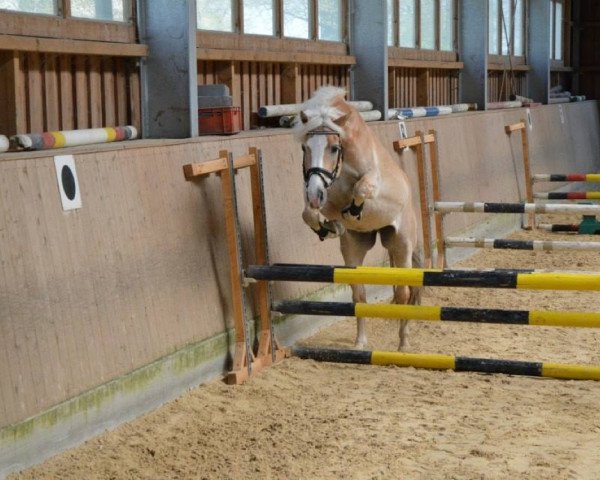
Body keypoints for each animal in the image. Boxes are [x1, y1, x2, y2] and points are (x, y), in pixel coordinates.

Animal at [292, 85, 420, 348]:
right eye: (305, 148)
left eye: (334, 147)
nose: (315, 195)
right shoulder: (318, 194)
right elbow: (308, 213)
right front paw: (328, 227)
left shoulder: (372, 180)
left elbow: (362, 188)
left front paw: (353, 210)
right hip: (354, 248)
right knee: (358, 293)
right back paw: (361, 343)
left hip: (402, 244)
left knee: (403, 293)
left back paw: (403, 345)